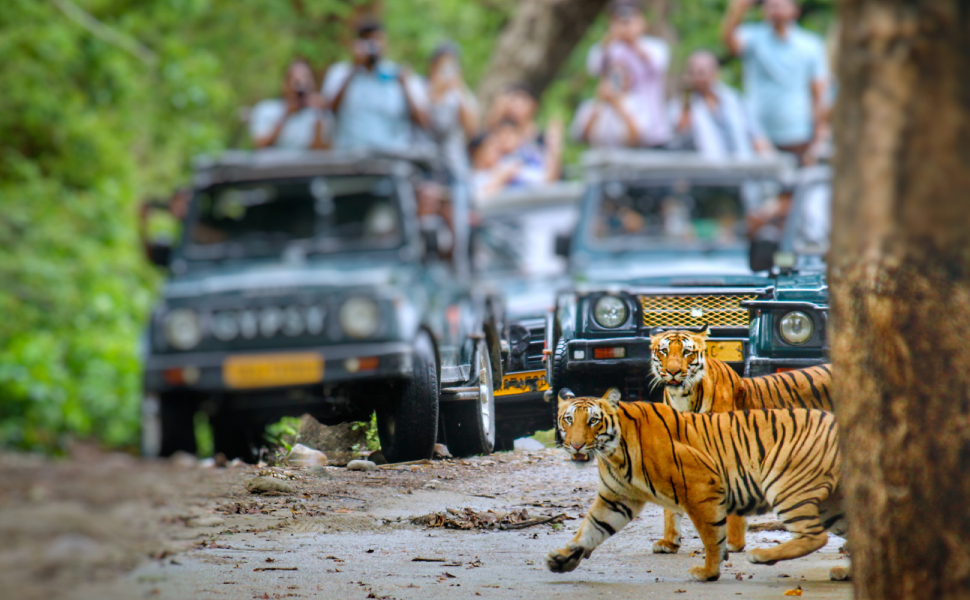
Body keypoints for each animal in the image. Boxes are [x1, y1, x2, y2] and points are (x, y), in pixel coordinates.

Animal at [544, 390, 848, 580]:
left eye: (593, 420)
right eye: (568, 419)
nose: (575, 445)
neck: (613, 453)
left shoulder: (701, 487)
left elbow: (712, 537)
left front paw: (708, 573)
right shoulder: (616, 499)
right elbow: (590, 529)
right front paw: (562, 560)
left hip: (787, 485)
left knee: (815, 536)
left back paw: (761, 556)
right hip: (833, 504)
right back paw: (844, 573)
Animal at [652, 326, 832, 556]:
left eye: (686, 352)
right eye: (664, 351)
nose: (673, 371)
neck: (682, 397)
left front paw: (733, 543)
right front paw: (669, 542)